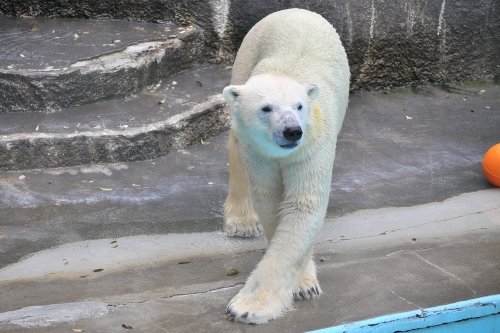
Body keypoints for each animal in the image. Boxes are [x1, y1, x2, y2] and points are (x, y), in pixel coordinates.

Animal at [221, 8, 350, 324]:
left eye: (299, 106)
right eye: (266, 108)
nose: (292, 131)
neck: (286, 72)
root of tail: (295, 10)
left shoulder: (313, 145)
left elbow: (301, 205)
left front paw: (249, 306)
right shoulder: (259, 152)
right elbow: (270, 199)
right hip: (246, 57)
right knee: (235, 142)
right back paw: (242, 222)